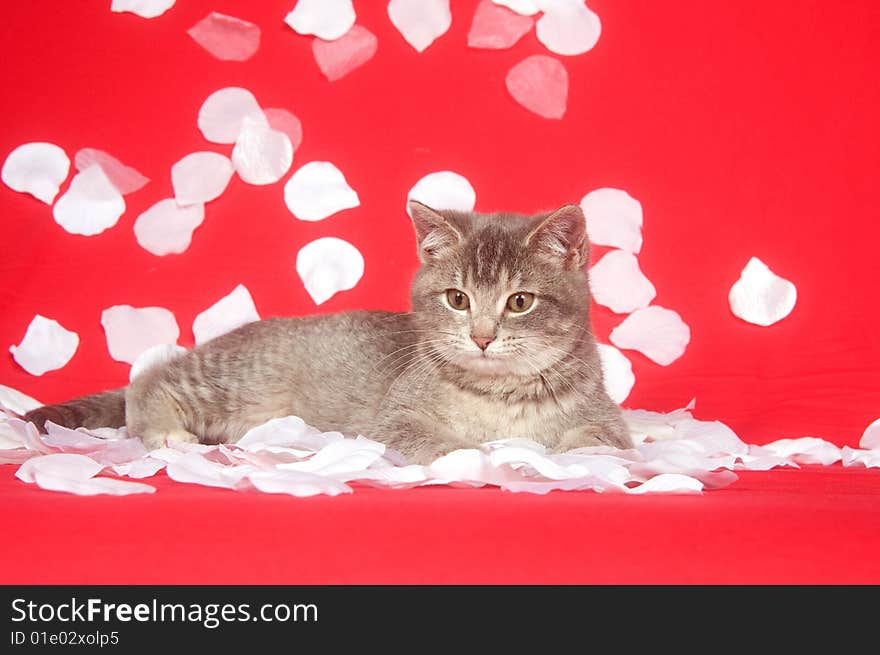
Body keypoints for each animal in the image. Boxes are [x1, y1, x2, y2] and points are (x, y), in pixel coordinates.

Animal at [24, 202, 628, 464]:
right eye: (458, 299)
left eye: (520, 302)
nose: (481, 337)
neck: (497, 394)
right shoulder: (394, 419)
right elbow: (433, 439)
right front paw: (482, 453)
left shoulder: (605, 419)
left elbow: (597, 440)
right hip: (236, 380)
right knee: (148, 380)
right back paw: (167, 431)